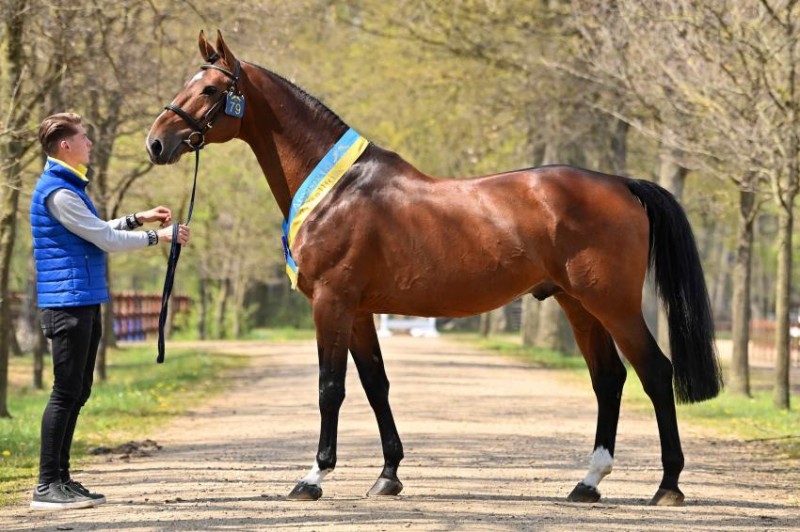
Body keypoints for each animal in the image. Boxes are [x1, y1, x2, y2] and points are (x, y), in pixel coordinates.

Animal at [145, 30, 722, 507]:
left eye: (211, 89)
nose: (156, 142)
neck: (337, 189)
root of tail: (622, 183)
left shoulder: (332, 303)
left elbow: (331, 388)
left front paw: (313, 477)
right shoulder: (359, 311)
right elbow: (376, 385)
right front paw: (388, 475)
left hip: (613, 304)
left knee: (655, 373)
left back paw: (668, 486)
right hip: (577, 304)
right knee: (609, 379)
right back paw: (588, 482)